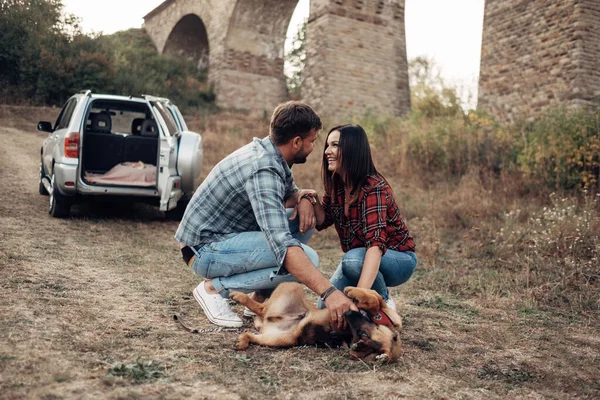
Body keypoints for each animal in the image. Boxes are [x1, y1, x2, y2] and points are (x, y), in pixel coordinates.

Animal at [230, 282, 404, 362]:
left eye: (363, 335)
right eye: (373, 325)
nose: (347, 313)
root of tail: (267, 321)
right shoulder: (391, 318)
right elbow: (375, 299)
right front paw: (353, 291)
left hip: (280, 338)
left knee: (259, 315)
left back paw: (243, 339)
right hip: (291, 286)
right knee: (261, 307)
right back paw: (239, 296)